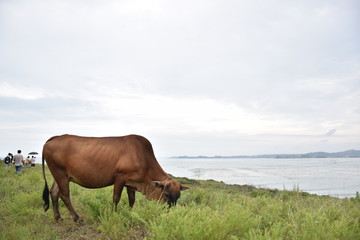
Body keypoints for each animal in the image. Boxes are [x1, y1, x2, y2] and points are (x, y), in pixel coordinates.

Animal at [42, 133, 188, 221]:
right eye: (166, 195)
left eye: (178, 197)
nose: (170, 213)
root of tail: (55, 138)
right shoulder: (120, 177)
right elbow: (116, 198)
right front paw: (113, 214)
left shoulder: (131, 182)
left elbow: (132, 200)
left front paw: (130, 213)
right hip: (60, 174)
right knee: (64, 195)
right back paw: (76, 218)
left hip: (59, 175)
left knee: (54, 192)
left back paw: (58, 217)